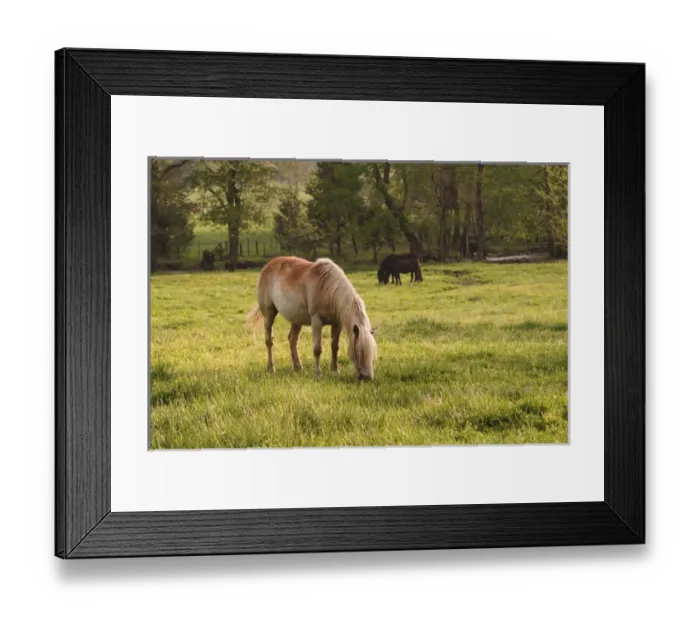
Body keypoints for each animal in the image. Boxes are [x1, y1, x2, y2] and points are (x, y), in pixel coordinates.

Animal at [246, 257, 378, 381]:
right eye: (360, 352)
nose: (367, 377)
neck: (328, 289)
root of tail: (267, 266)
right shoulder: (316, 321)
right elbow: (317, 349)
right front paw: (317, 373)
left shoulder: (337, 324)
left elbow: (335, 346)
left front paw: (335, 370)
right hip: (269, 314)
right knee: (269, 341)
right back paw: (271, 368)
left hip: (296, 319)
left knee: (292, 339)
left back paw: (298, 368)